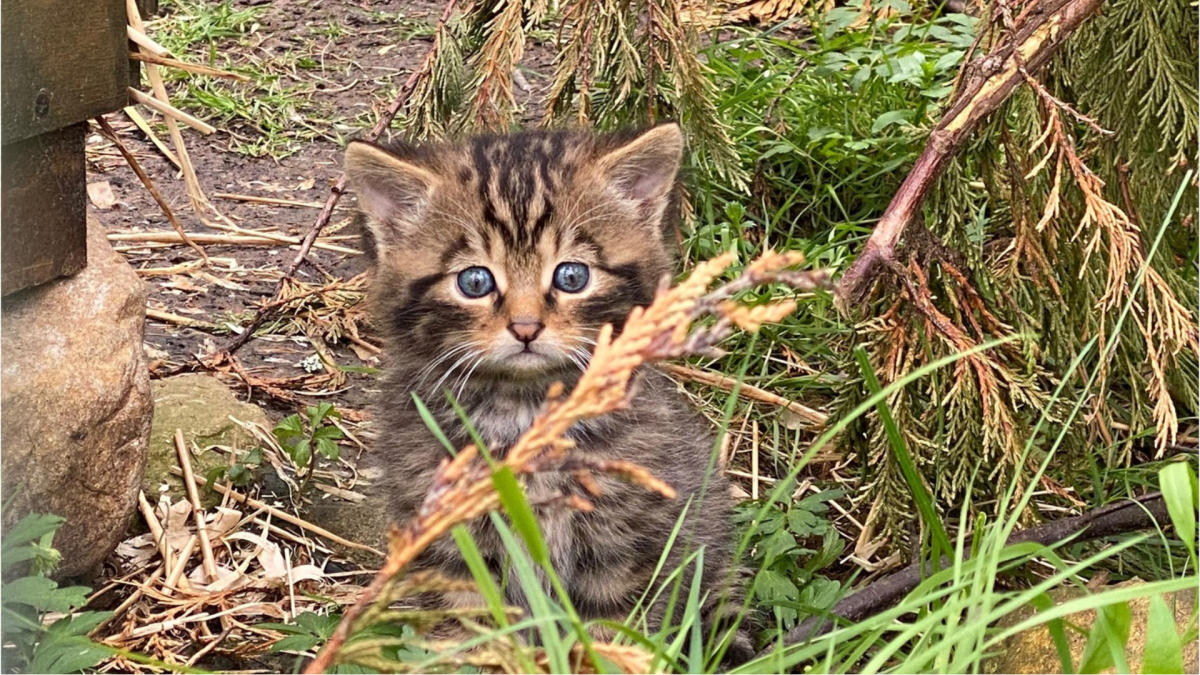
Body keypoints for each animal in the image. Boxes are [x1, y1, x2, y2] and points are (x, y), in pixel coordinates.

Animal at [343, 121, 744, 653]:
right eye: (474, 282)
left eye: (572, 276)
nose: (526, 327)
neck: (525, 408)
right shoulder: (447, 539)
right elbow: (470, 628)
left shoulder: (623, 541)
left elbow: (610, 632)